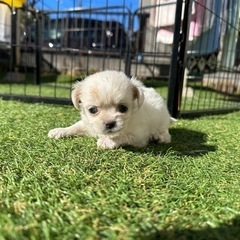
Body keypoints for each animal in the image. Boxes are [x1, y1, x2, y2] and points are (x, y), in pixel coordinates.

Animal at [47, 70, 175, 148]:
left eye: (123, 108)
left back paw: (159, 136)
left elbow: (122, 136)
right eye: (93, 110)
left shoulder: (139, 136)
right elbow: (75, 127)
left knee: (167, 133)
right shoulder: (88, 125)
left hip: (162, 121)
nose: (110, 123)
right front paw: (59, 131)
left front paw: (107, 141)